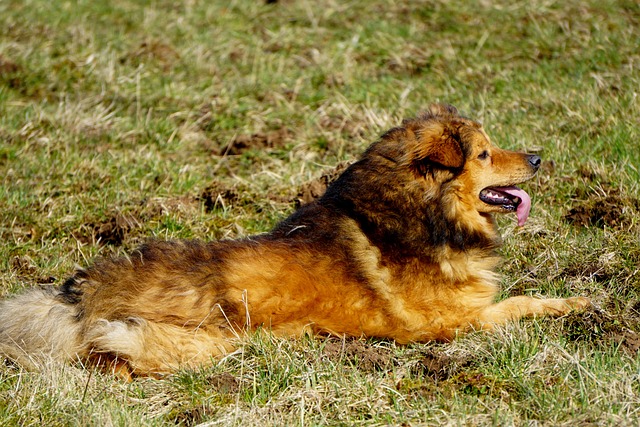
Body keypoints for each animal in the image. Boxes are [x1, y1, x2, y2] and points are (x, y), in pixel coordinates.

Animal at [0, 105, 592, 380]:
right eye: (485, 154)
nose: (538, 157)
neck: (417, 211)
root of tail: (80, 292)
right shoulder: (447, 323)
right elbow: (518, 302)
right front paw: (576, 302)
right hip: (197, 340)